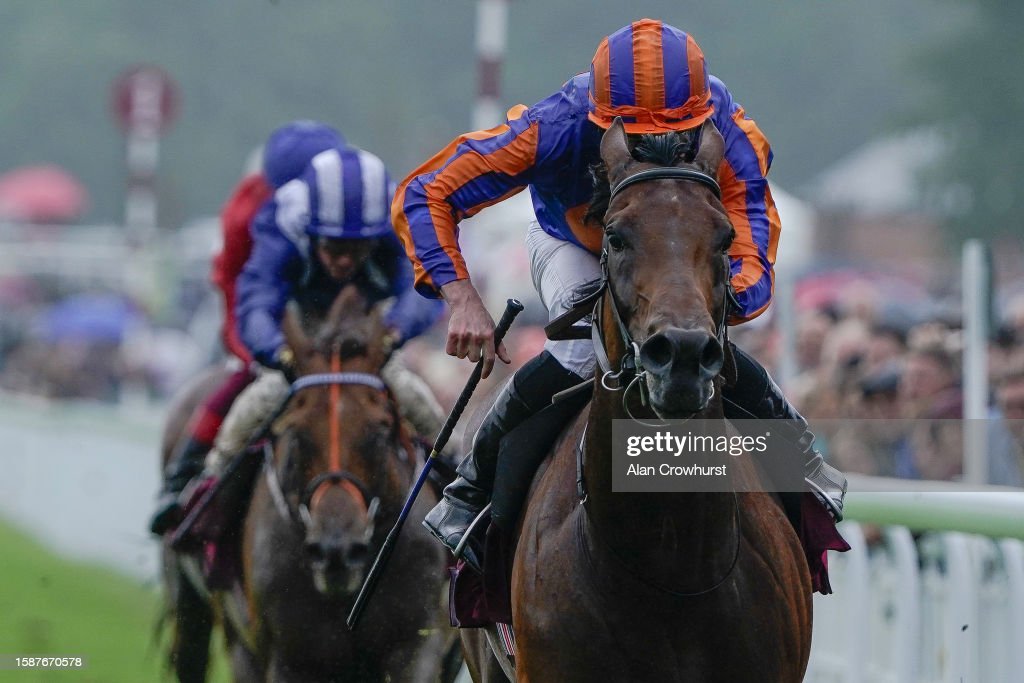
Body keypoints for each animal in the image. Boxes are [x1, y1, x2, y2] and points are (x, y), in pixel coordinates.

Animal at [161, 286, 458, 679]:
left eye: (380, 428)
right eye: (296, 431)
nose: (336, 550)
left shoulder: (417, 644)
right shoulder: (291, 657)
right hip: (196, 606)